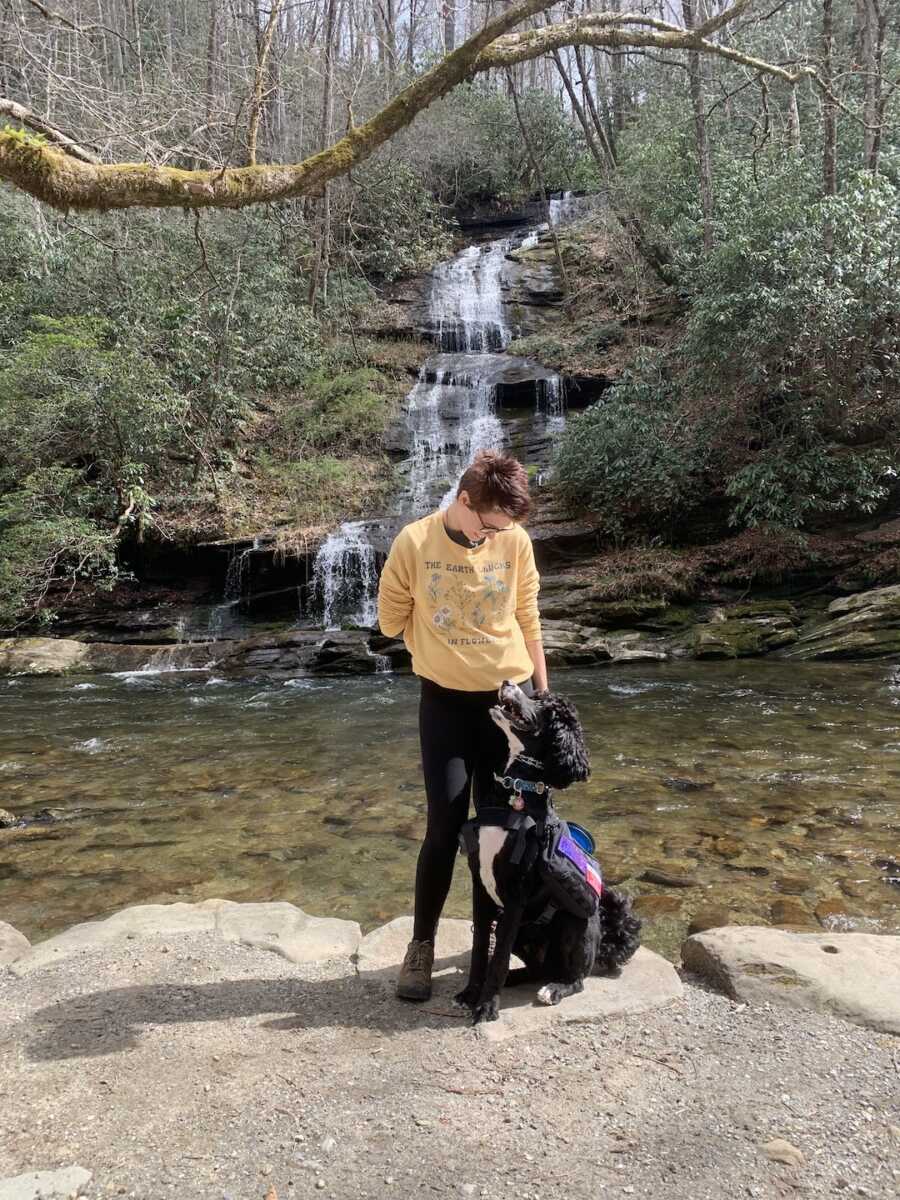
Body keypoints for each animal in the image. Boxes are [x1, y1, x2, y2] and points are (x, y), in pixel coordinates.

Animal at [458, 681, 643, 1027]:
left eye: (547, 709)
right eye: (538, 695)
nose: (507, 682)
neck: (516, 791)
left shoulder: (516, 893)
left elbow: (497, 957)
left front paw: (487, 1005)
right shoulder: (480, 886)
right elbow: (479, 950)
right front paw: (470, 993)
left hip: (575, 923)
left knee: (576, 978)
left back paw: (555, 988)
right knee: (534, 970)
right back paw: (518, 978)